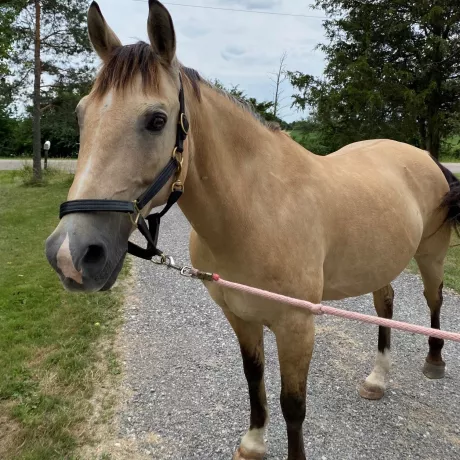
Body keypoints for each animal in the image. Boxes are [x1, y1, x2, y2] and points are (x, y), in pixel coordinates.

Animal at [45, 1, 460, 458]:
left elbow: (293, 405)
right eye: (81, 115)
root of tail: (425, 157)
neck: (258, 210)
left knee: (434, 299)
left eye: (156, 120)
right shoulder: (240, 316)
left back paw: (435, 360)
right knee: (385, 305)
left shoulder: (297, 327)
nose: (70, 255)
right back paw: (377, 379)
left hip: (431, 256)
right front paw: (254, 442)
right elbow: (253, 377)